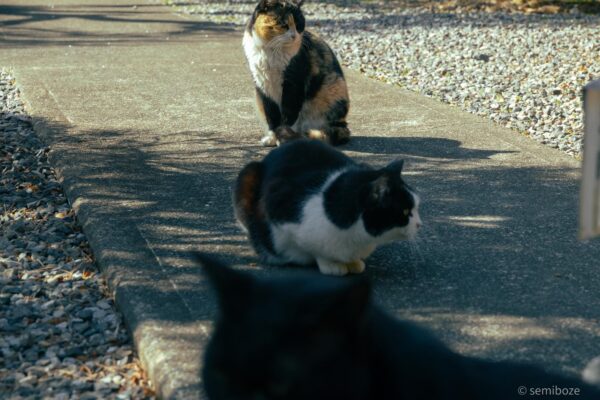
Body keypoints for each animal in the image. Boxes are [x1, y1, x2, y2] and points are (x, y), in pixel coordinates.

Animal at [233, 140, 422, 276]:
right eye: (405, 211)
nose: (420, 224)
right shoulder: (278, 208)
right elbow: (312, 250)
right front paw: (331, 264)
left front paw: (354, 263)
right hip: (247, 174)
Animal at [241, 0, 350, 147]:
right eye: (283, 24)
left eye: (299, 24)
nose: (294, 36)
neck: (272, 51)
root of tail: (343, 124)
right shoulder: (262, 86)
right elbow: (271, 116)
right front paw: (272, 138)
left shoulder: (294, 84)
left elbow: (289, 115)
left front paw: (285, 138)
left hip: (332, 91)